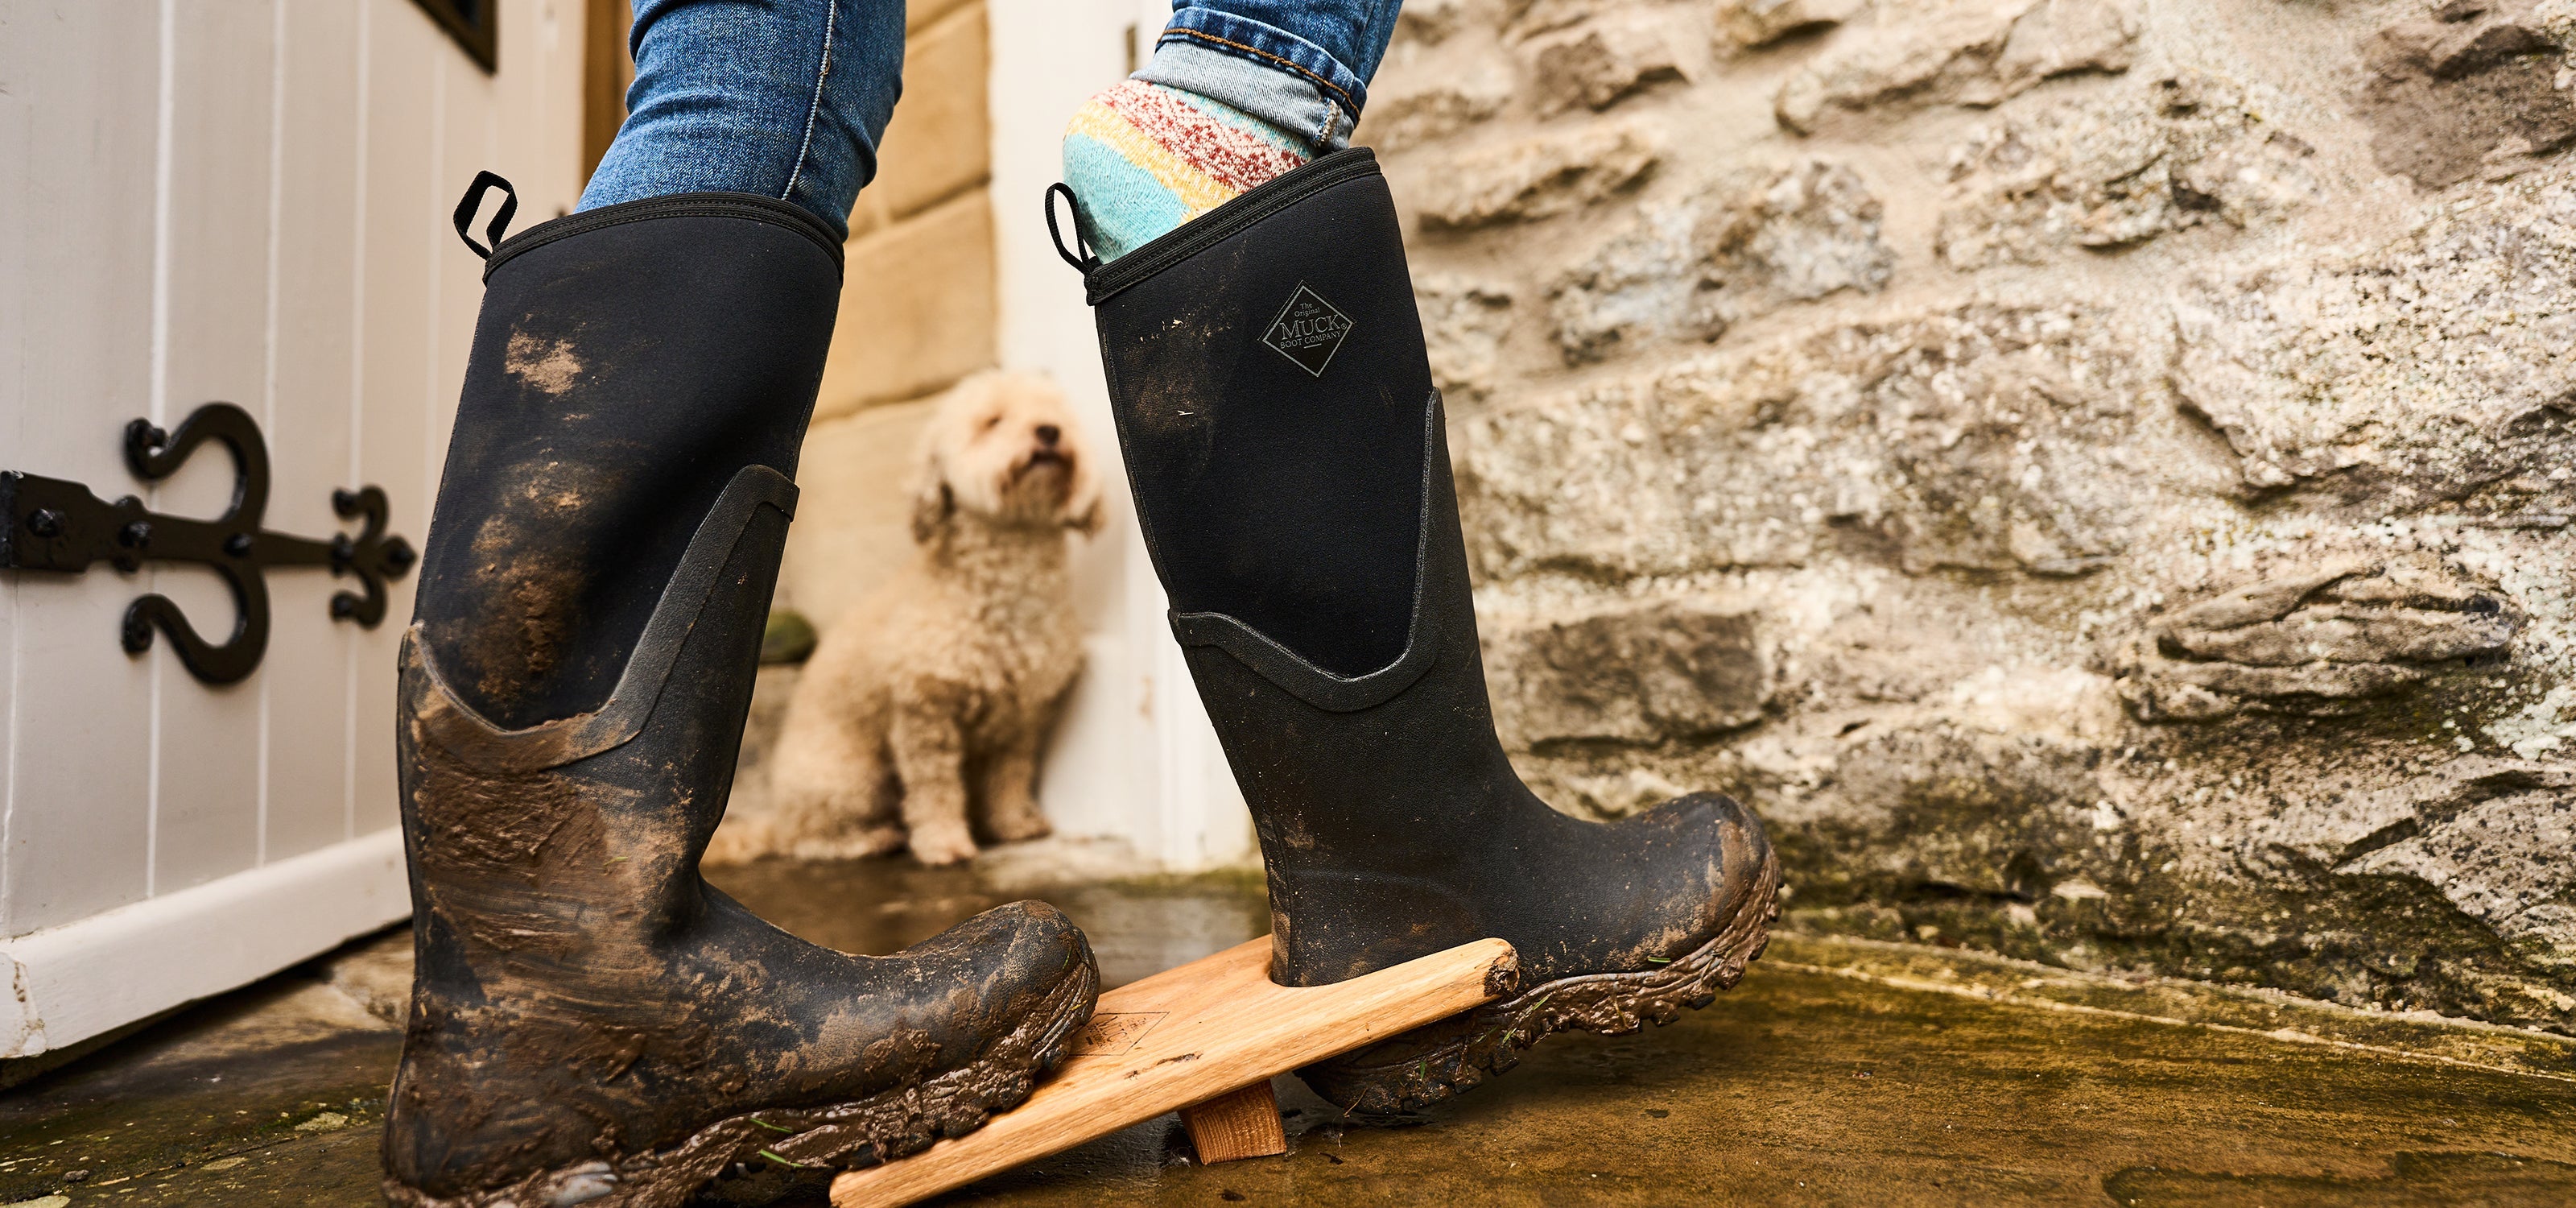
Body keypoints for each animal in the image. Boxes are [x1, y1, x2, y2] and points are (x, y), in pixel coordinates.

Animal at [711, 370, 1102, 860]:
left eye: (1055, 416)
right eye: (993, 421)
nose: (1049, 432)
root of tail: (777, 814)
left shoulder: (1021, 716)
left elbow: (1008, 777)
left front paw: (1014, 824)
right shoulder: (923, 714)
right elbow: (935, 787)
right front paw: (944, 842)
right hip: (851, 778)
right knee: (806, 839)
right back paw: (870, 839)